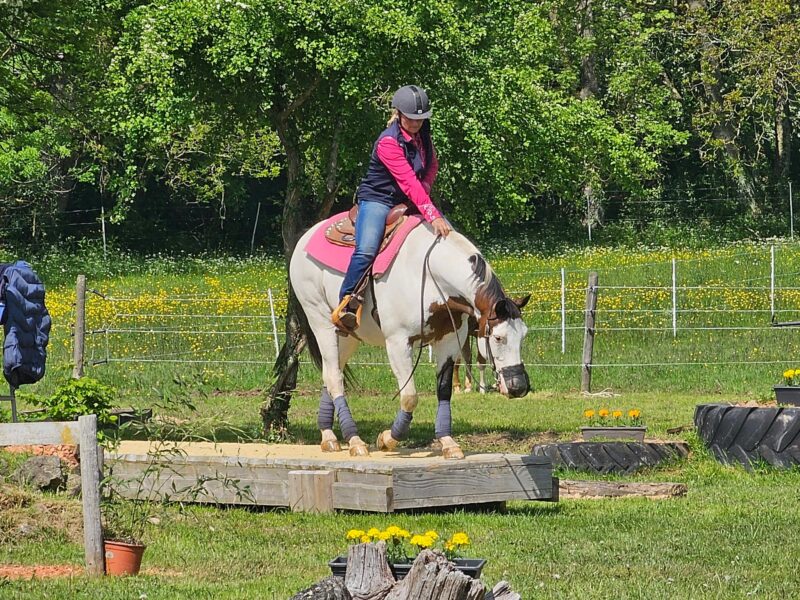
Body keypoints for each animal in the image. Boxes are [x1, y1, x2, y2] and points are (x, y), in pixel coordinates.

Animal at [289, 219, 531, 459]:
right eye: (498, 337)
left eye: (523, 336)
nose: (519, 387)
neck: (432, 277)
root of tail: (306, 236)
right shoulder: (398, 342)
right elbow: (409, 396)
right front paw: (387, 439)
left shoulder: (450, 340)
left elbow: (444, 390)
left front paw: (448, 442)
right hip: (321, 322)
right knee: (334, 378)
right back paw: (354, 440)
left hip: (347, 335)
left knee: (331, 371)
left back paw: (328, 436)